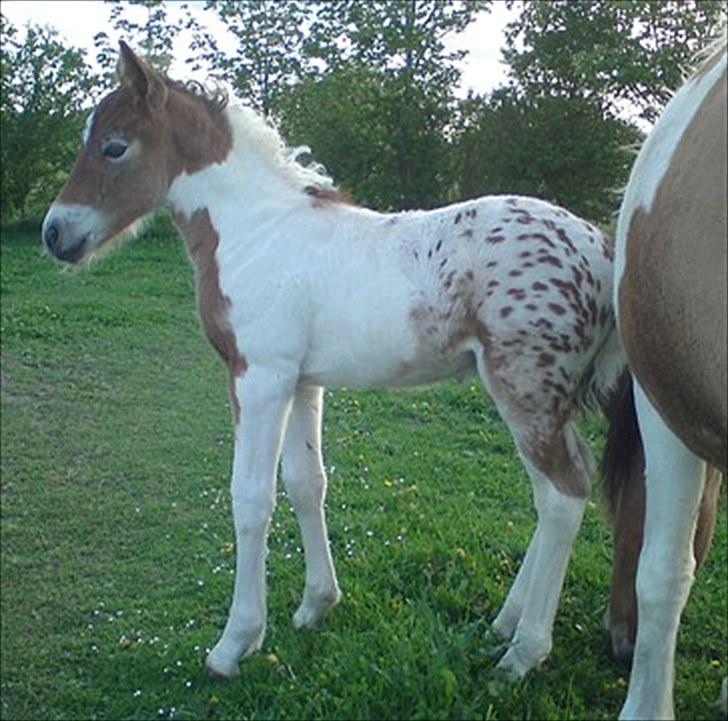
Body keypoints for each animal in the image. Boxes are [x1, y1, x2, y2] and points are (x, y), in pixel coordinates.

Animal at [41, 43, 620, 680]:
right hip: (541, 398)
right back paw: (505, 623)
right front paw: (316, 604)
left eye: (114, 146)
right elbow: (305, 483)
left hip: (526, 391)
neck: (257, 232)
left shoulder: (258, 378)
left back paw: (522, 653)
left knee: (563, 494)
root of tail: (601, 246)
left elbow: (251, 498)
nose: (54, 233)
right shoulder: (301, 382)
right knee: (558, 490)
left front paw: (235, 643)